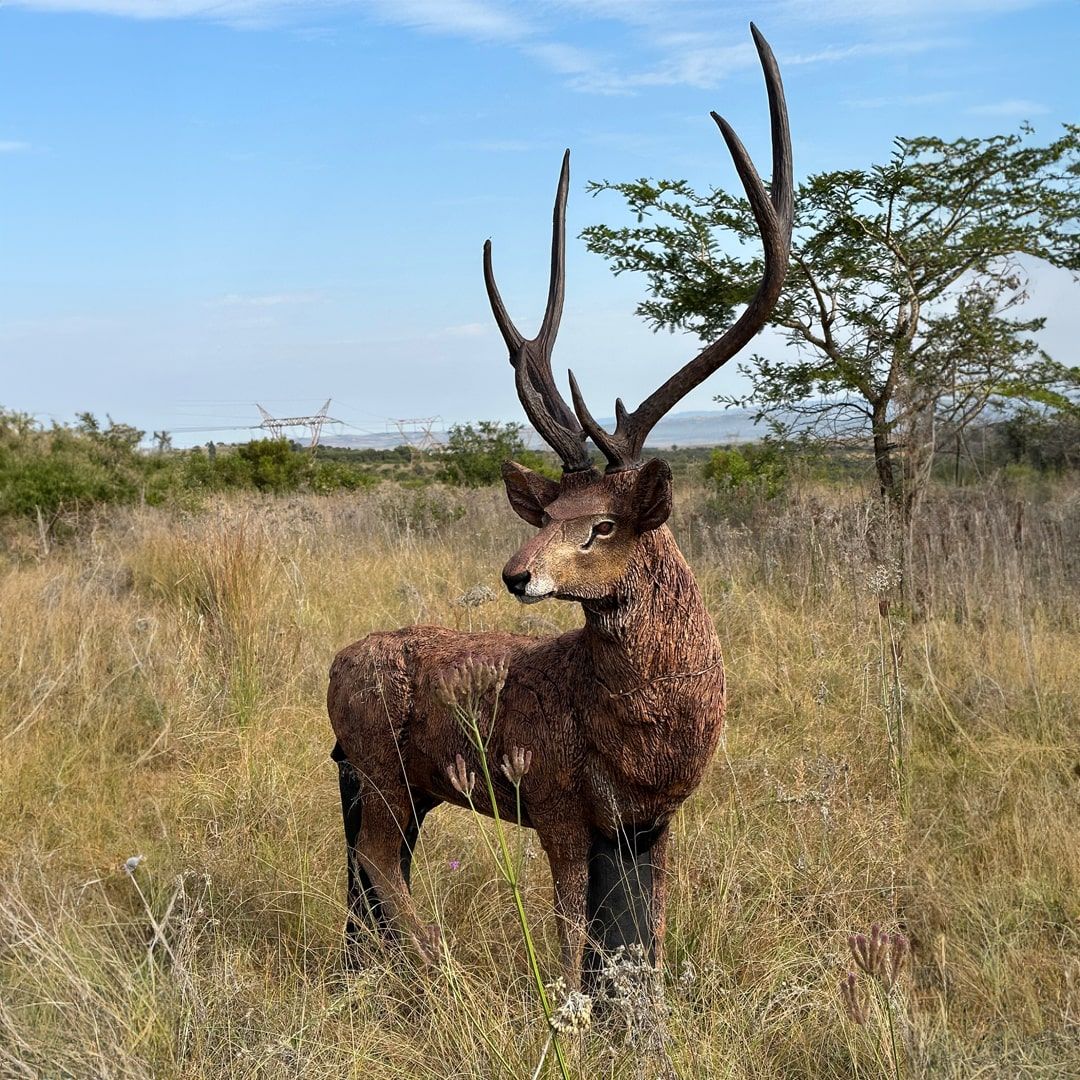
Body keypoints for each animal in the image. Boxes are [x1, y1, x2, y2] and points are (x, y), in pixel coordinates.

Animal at [328, 23, 792, 993]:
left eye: (601, 524)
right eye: (542, 516)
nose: (515, 575)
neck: (642, 740)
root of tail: (329, 671)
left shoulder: (652, 823)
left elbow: (643, 943)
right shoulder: (554, 801)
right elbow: (574, 941)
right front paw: (558, 1009)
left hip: (402, 779)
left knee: (370, 863)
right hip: (380, 760)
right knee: (380, 860)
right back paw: (438, 973)